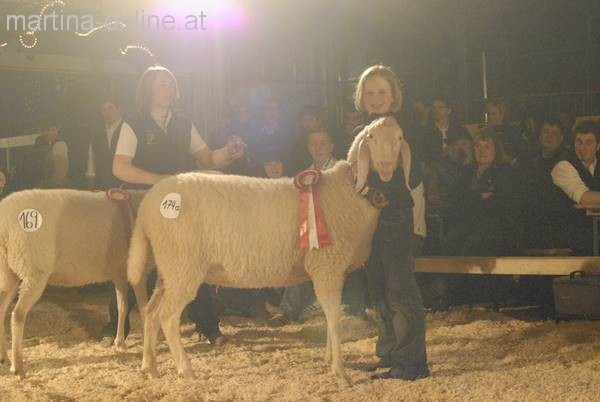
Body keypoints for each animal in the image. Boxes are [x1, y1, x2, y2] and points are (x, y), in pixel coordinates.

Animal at [0, 189, 148, 377]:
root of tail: (4, 220)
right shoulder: (138, 271)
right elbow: (144, 309)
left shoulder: (120, 273)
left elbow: (122, 307)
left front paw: (119, 342)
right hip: (33, 271)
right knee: (18, 315)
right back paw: (17, 367)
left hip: (8, 272)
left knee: (1, 310)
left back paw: (4, 359)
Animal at [127, 116, 403, 387]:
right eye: (371, 138)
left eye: (400, 138)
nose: (387, 165)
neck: (350, 192)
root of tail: (148, 204)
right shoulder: (327, 265)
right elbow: (334, 319)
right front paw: (341, 373)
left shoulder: (332, 270)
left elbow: (330, 316)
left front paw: (328, 359)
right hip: (183, 265)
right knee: (167, 317)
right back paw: (186, 370)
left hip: (170, 269)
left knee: (151, 312)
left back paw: (149, 367)